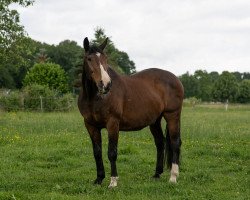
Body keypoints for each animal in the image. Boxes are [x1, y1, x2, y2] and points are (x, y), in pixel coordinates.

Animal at [77, 37, 184, 188]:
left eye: (105, 58)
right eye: (89, 58)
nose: (106, 84)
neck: (95, 98)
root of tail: (175, 78)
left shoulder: (113, 124)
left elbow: (112, 152)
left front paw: (113, 181)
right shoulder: (90, 125)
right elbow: (97, 152)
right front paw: (99, 179)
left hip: (172, 116)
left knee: (175, 143)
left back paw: (173, 177)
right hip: (154, 121)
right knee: (160, 143)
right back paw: (157, 174)